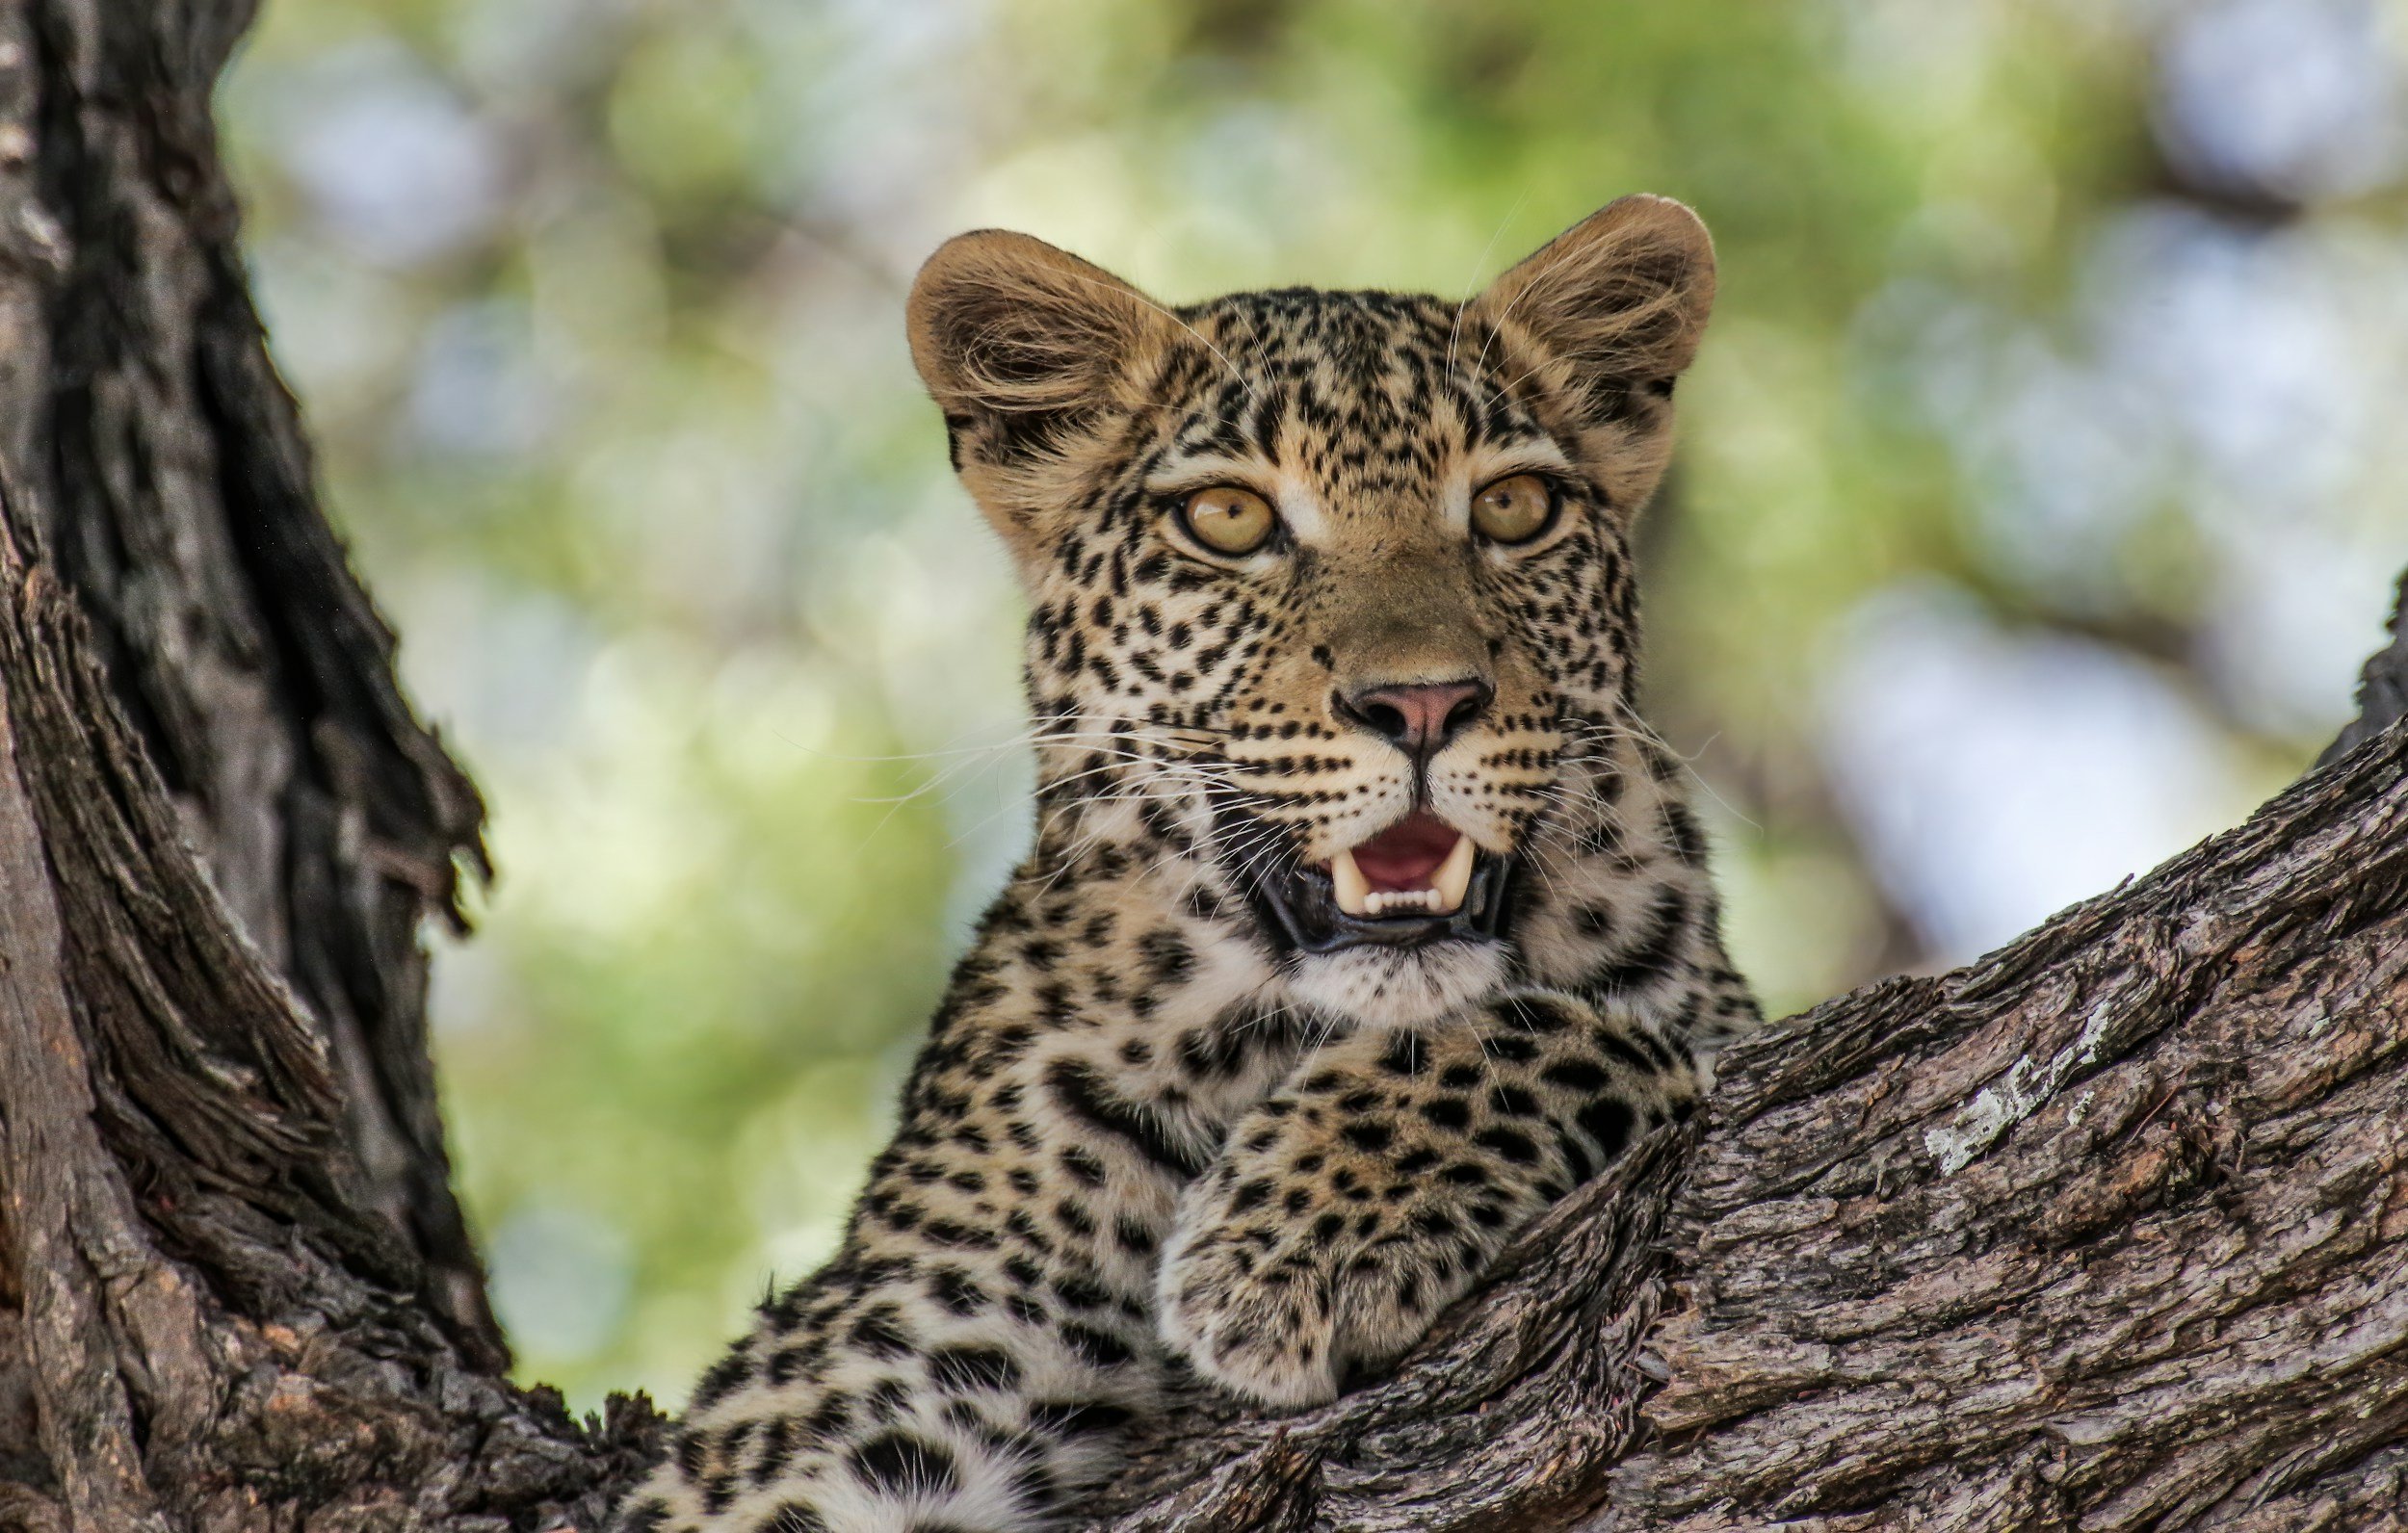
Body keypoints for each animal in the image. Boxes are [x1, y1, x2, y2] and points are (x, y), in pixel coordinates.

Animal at [611, 194, 1761, 1533]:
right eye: (1229, 520)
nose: (1423, 703)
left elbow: (1611, 1030)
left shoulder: (1704, 1008)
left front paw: (1294, 1237)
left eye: (1515, 508)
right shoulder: (878, 1359)